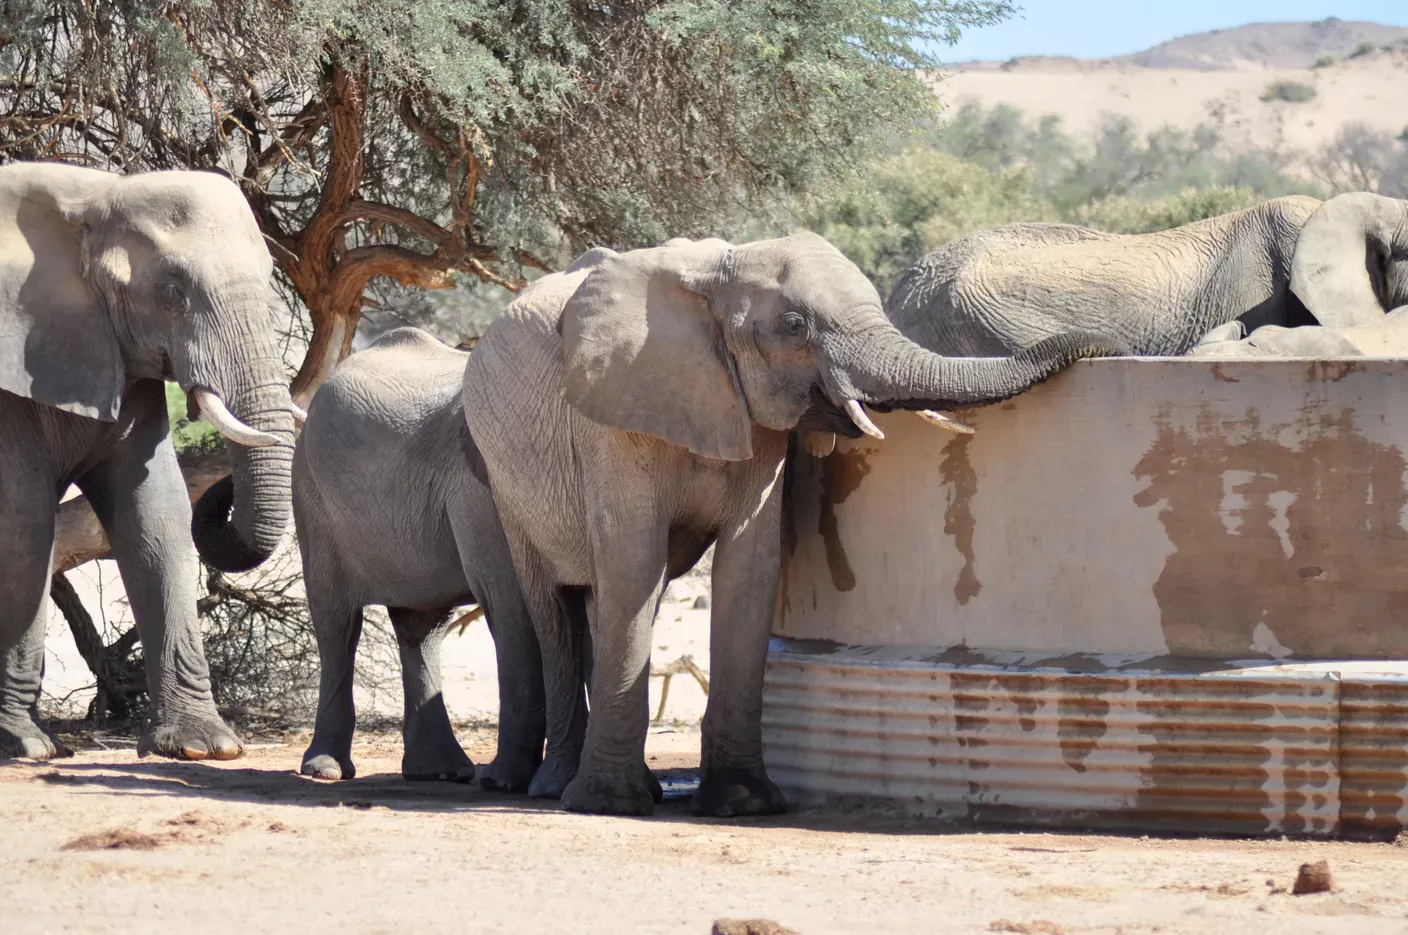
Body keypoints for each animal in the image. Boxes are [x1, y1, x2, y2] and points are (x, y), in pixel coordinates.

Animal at [0, 162, 302, 761]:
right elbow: (25, 524)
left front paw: (203, 746)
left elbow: (155, 514)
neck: (91, 195)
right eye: (170, 291)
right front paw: (24, 744)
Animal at [461, 233, 1125, 817]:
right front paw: (608, 806)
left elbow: (748, 569)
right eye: (794, 327)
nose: (1103, 344)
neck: (719, 273)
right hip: (505, 475)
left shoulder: (753, 425)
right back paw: (558, 789)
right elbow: (633, 564)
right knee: (556, 606)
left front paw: (741, 805)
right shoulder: (615, 413)